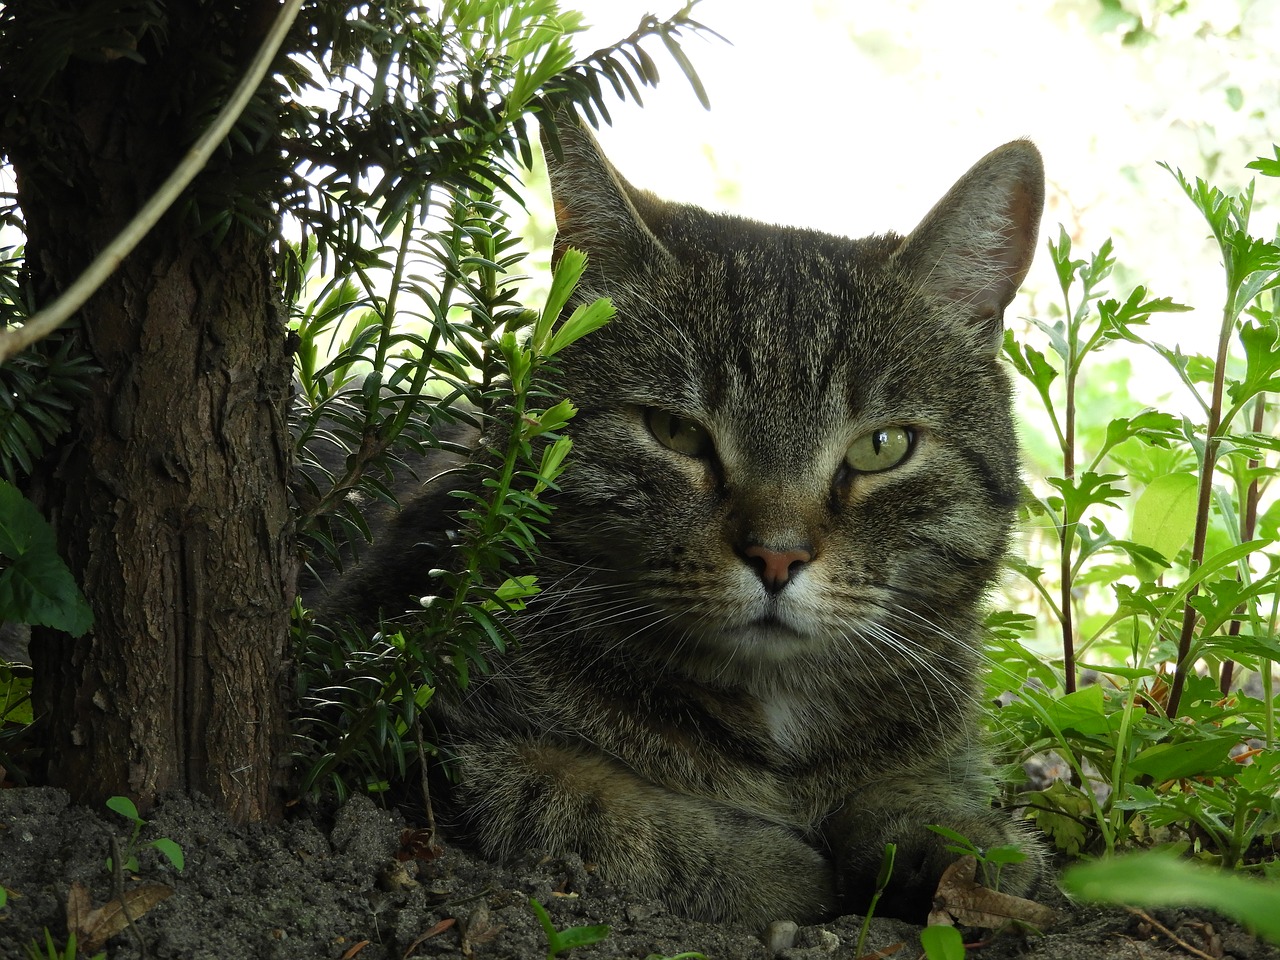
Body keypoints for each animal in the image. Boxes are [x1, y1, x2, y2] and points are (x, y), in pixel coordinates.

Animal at [317, 112, 1039, 931]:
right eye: (675, 433)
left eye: (882, 447)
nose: (778, 558)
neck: (778, 713)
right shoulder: (379, 715)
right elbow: (589, 801)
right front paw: (779, 865)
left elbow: (936, 798)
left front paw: (967, 846)